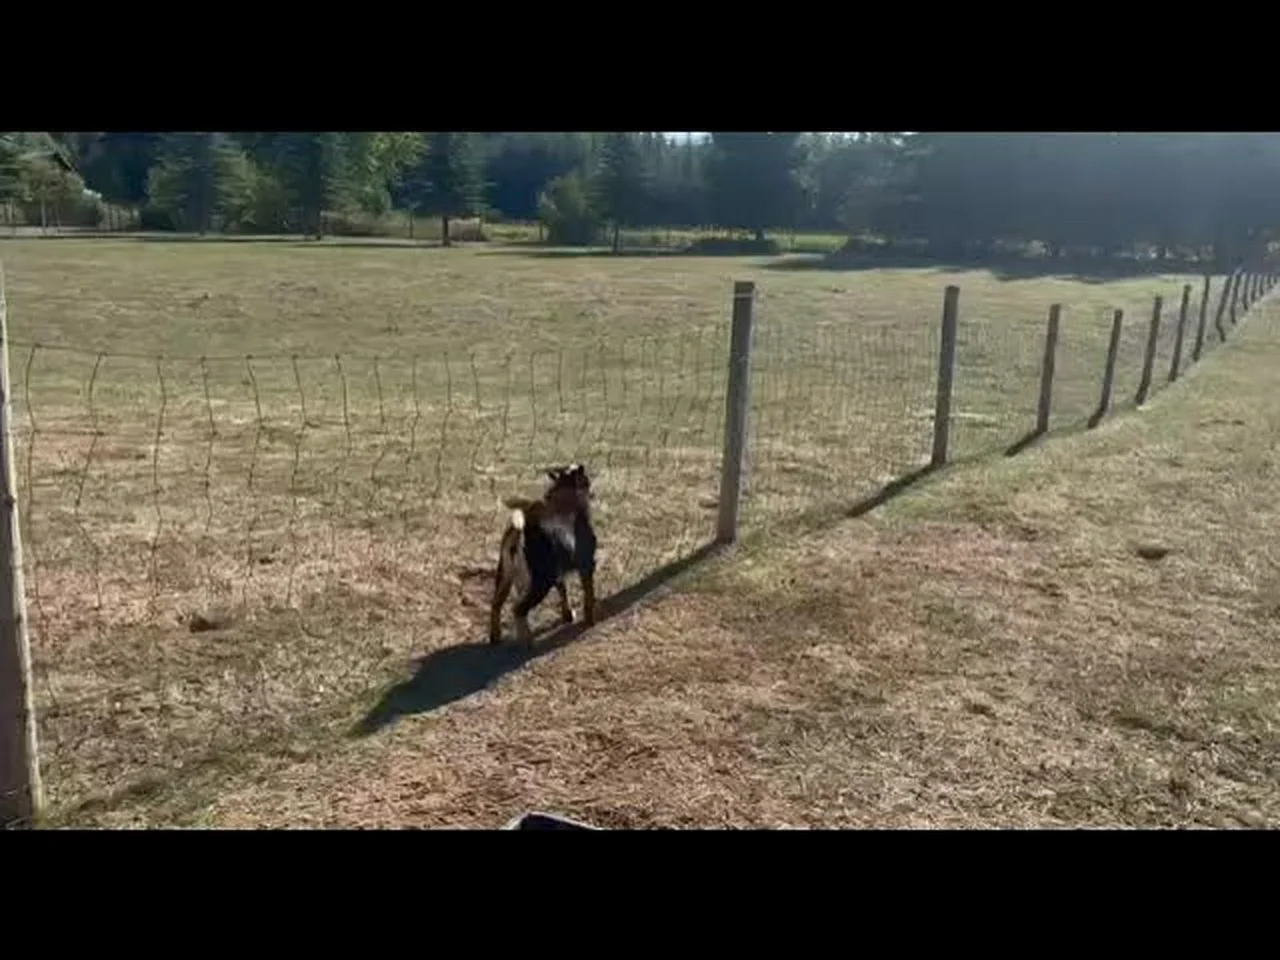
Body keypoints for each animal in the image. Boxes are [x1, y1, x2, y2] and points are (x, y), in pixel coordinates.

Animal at [489, 463, 598, 647]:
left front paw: (568, 615)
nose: (593, 492)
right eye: (585, 479)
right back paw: (527, 641)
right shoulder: (586, 564)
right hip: (540, 582)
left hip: (505, 576)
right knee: (518, 609)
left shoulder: (558, 571)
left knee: (496, 605)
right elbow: (588, 593)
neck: (565, 497)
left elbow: (563, 590)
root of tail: (521, 531)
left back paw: (495, 636)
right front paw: (590, 620)